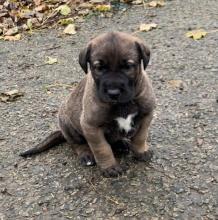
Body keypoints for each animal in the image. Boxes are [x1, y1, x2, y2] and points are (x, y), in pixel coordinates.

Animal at [20, 32, 156, 177]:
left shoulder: (146, 115)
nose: (113, 93)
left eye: (128, 66)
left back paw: (121, 144)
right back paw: (86, 155)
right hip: (68, 126)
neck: (122, 104)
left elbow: (140, 137)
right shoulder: (91, 126)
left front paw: (141, 151)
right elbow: (102, 148)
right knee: (77, 144)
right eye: (99, 68)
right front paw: (110, 167)